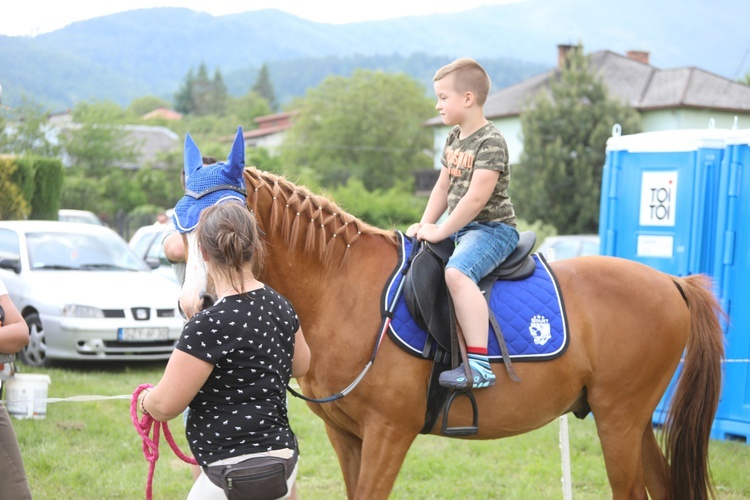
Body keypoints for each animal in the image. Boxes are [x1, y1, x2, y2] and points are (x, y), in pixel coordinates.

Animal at [173, 138, 724, 500]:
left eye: (228, 226)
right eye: (181, 226)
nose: (196, 304)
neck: (343, 290)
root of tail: (672, 281)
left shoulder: (388, 434)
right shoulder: (345, 435)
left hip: (619, 418)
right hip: (632, 421)